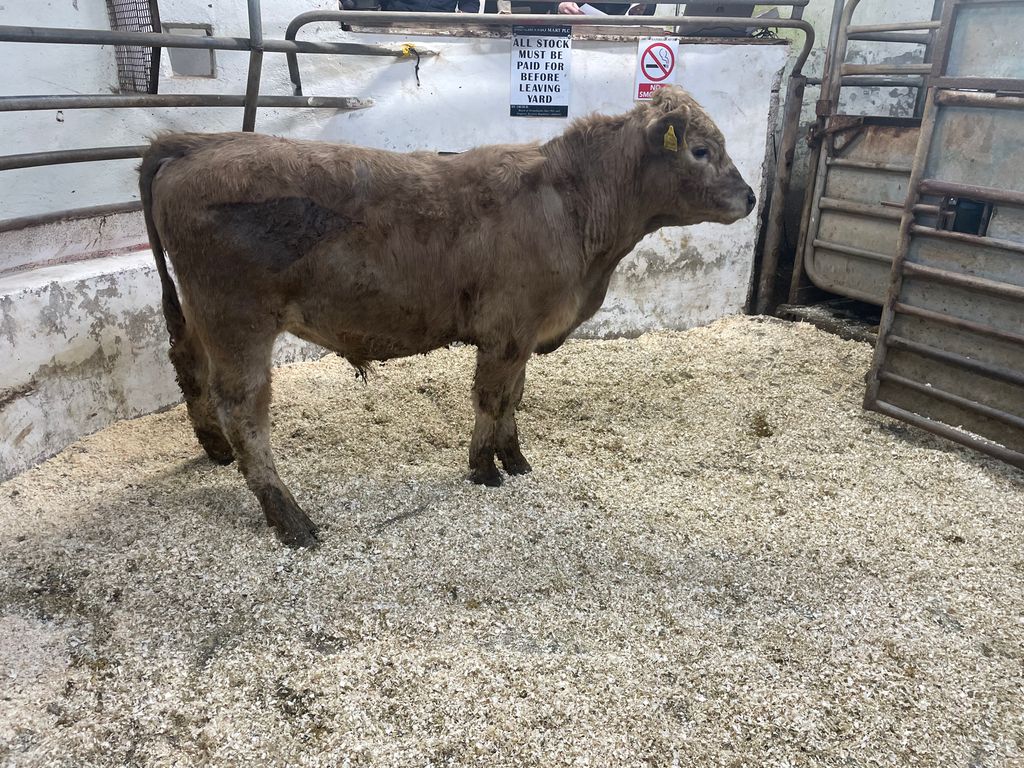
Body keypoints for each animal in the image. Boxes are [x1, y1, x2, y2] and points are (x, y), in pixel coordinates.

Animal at [139, 86, 756, 547]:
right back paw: (289, 518)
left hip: (201, 317)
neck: (572, 205)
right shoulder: (507, 331)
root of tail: (196, 143)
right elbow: (492, 397)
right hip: (237, 322)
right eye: (701, 150)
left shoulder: (522, 334)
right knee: (245, 411)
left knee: (188, 366)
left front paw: (514, 459)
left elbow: (514, 397)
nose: (750, 197)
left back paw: (215, 450)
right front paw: (484, 468)